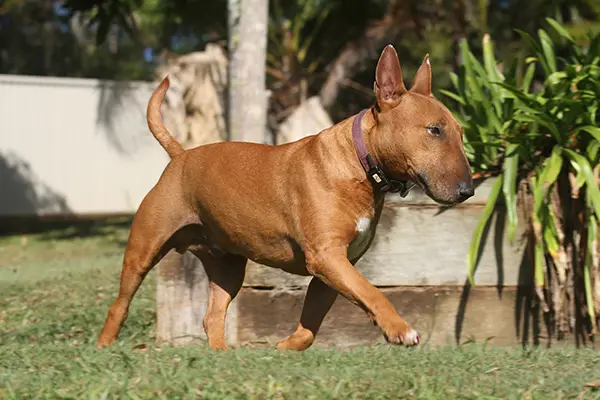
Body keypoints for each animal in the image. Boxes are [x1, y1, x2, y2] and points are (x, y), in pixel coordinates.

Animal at [98, 44, 474, 350]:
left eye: (460, 132)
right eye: (434, 130)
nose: (468, 190)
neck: (359, 162)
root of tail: (181, 155)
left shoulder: (335, 269)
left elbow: (310, 329)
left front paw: (283, 347)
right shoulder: (326, 258)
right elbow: (372, 292)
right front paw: (399, 329)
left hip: (228, 267)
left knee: (212, 316)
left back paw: (222, 357)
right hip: (144, 248)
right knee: (120, 304)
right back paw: (104, 346)